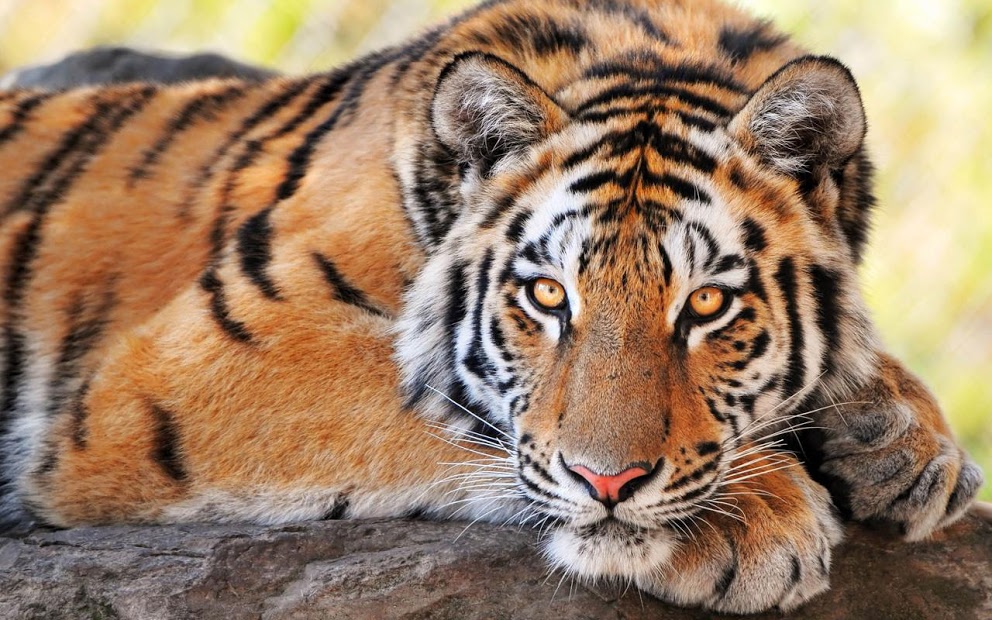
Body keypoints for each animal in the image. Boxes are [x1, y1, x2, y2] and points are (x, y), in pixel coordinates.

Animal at [0, 0, 983, 614]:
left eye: (706, 304)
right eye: (548, 295)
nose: (609, 486)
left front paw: (903, 440)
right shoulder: (188, 369)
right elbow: (451, 415)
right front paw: (754, 516)